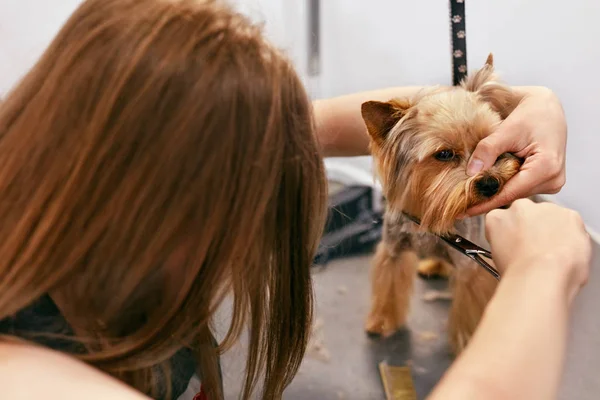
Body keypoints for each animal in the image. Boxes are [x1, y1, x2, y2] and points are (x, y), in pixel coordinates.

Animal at [360, 54, 524, 354]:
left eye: (488, 145)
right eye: (445, 154)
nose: (490, 183)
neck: (429, 211)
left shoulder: (470, 268)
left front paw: (467, 342)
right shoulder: (392, 250)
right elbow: (388, 286)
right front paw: (382, 321)